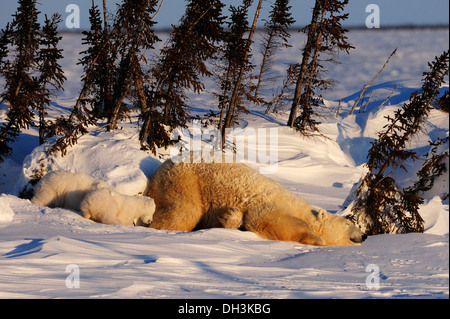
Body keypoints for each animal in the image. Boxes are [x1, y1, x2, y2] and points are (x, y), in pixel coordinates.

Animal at [146, 160, 368, 248]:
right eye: (349, 223)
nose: (365, 235)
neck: (306, 210)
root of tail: (158, 171)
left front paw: (231, 217)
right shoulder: (276, 205)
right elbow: (268, 220)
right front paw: (316, 239)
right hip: (185, 180)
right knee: (185, 211)